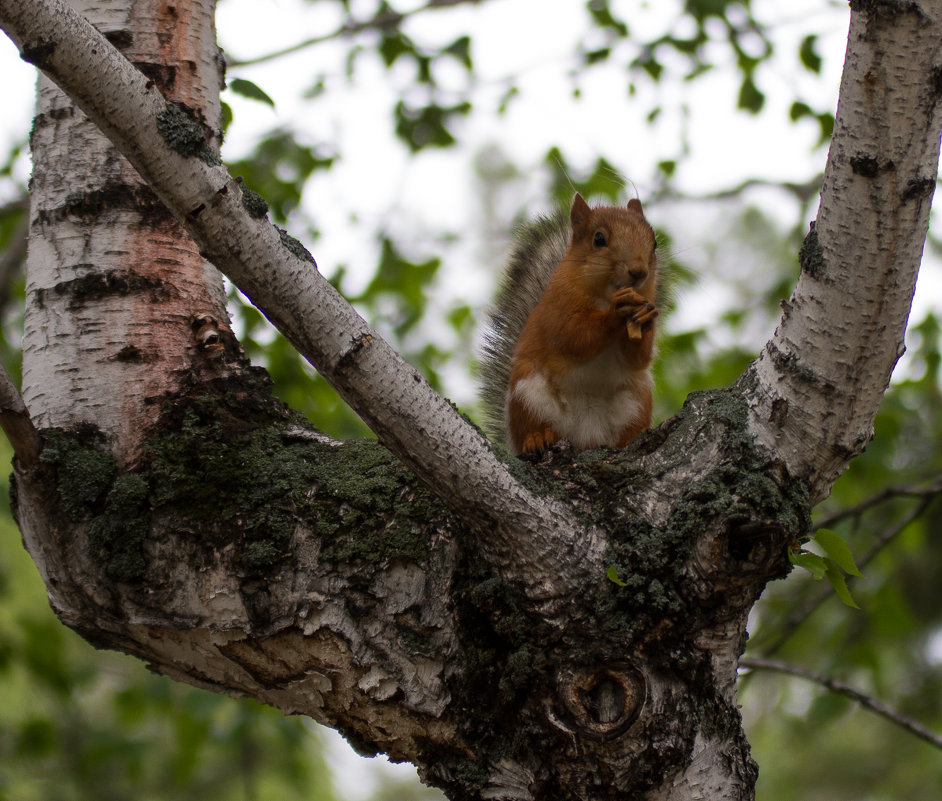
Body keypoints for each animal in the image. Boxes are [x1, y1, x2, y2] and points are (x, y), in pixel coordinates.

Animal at [484, 194, 660, 456]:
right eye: (599, 239)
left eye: (654, 242)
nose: (639, 272)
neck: (604, 296)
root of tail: (585, 436)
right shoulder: (555, 310)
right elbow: (573, 337)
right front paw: (614, 313)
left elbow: (638, 359)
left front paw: (647, 317)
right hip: (528, 394)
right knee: (533, 425)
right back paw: (536, 438)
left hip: (637, 401)